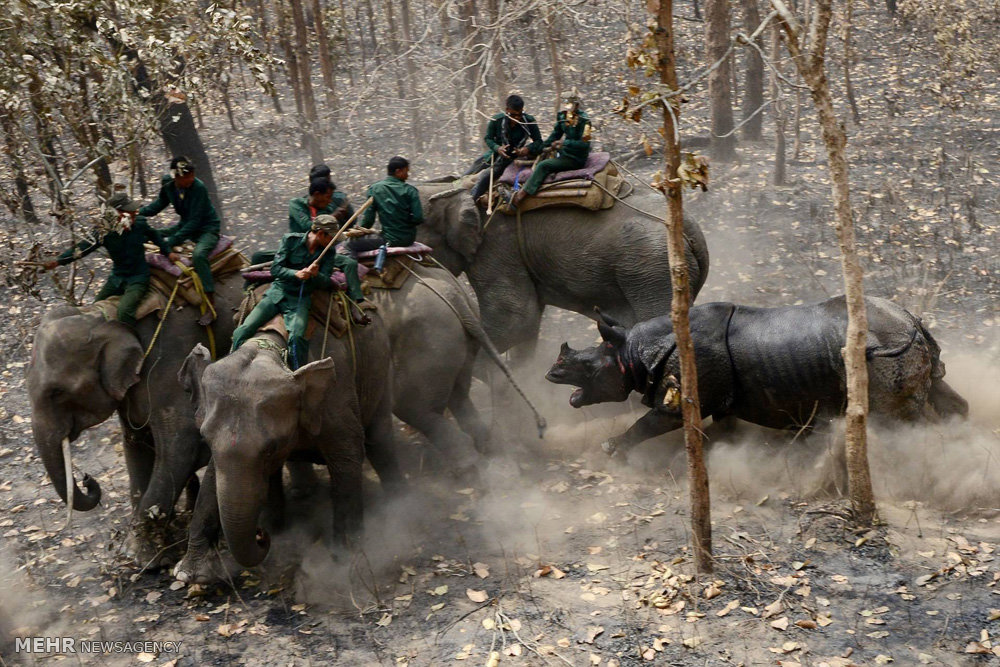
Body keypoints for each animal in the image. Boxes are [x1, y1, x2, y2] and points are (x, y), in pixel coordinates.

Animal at [26, 274, 242, 568]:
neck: (104, 315)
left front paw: (140, 560)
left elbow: (182, 445)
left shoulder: (171, 363)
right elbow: (137, 446)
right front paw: (144, 552)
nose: (87, 479)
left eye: (57, 392)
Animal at [174, 312, 400, 580]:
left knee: (379, 438)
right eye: (205, 439)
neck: (269, 346)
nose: (261, 535)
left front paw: (345, 560)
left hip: (379, 366)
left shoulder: (336, 397)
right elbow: (212, 475)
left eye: (270, 448)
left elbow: (348, 456)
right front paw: (186, 574)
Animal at [548, 294, 968, 462]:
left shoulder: (682, 396)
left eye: (590, 368)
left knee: (898, 422)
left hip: (885, 353)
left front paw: (610, 450)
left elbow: (650, 422)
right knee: (940, 393)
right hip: (906, 344)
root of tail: (912, 321)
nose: (552, 373)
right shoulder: (722, 399)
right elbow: (723, 431)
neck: (633, 351)